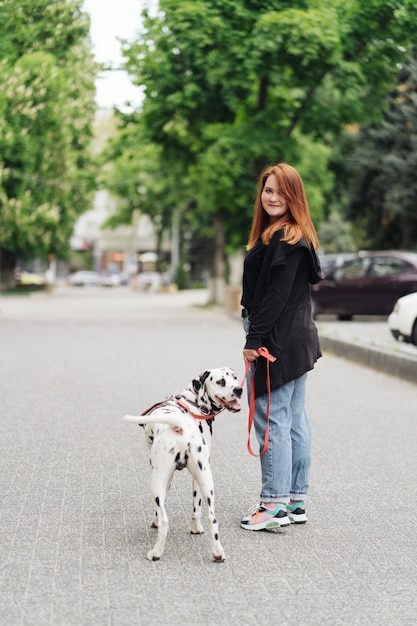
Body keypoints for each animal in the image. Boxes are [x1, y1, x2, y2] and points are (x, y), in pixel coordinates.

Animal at [122, 366, 240, 560]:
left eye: (235, 378)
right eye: (221, 381)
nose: (239, 389)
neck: (193, 402)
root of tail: (180, 426)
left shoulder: (166, 479)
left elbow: (163, 507)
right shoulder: (191, 479)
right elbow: (195, 507)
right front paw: (196, 528)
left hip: (156, 480)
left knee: (165, 520)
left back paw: (155, 553)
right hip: (206, 481)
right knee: (212, 518)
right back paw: (217, 553)